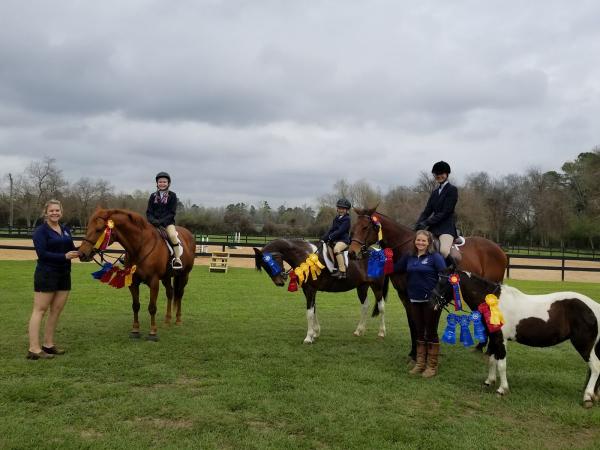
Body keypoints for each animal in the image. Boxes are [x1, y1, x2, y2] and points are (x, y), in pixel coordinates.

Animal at [78, 209, 196, 340]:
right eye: (88, 227)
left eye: (99, 229)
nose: (81, 254)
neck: (141, 246)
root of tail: (188, 234)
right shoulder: (133, 282)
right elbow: (135, 305)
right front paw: (135, 330)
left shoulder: (154, 282)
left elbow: (152, 307)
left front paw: (152, 332)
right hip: (166, 277)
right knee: (170, 293)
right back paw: (167, 320)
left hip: (184, 275)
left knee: (179, 294)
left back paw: (178, 320)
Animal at [253, 237, 390, 342]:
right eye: (264, 266)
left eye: (269, 263)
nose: (280, 282)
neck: (305, 256)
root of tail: (379, 252)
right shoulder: (308, 290)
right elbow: (313, 310)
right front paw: (315, 333)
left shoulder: (310, 290)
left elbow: (309, 312)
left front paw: (308, 337)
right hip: (362, 286)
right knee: (365, 306)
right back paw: (359, 331)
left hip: (377, 287)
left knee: (382, 307)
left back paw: (382, 332)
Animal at [346, 206, 506, 360]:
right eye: (353, 227)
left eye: (365, 227)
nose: (352, 253)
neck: (410, 250)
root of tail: (499, 249)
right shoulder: (405, 296)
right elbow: (413, 323)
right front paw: (414, 353)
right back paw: (482, 347)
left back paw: (490, 349)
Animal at [432, 268, 600, 408]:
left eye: (444, 282)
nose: (432, 302)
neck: (494, 303)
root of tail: (594, 307)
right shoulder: (494, 338)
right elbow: (492, 360)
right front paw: (489, 381)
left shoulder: (501, 340)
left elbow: (501, 365)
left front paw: (502, 389)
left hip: (584, 344)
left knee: (595, 367)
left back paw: (587, 397)